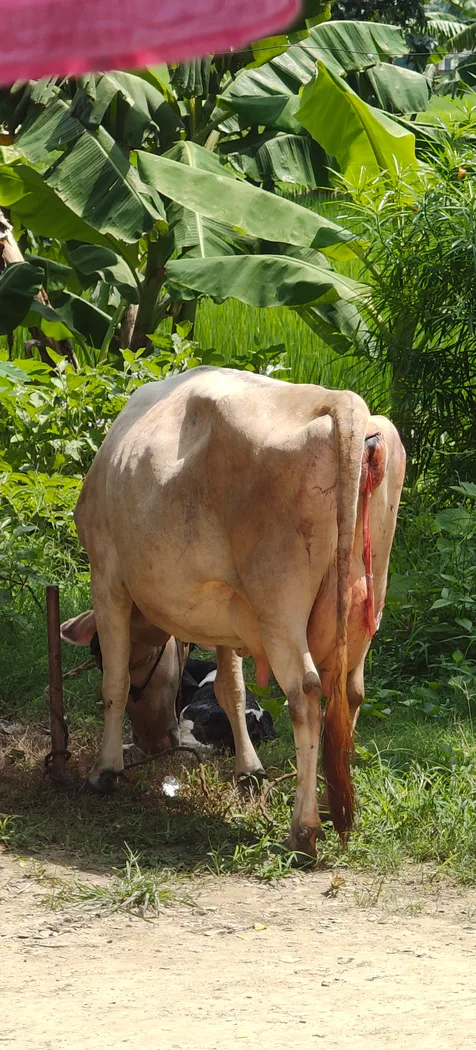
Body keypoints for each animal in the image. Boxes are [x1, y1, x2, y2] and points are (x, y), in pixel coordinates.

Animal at [70, 366, 405, 856]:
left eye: (147, 660)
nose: (156, 742)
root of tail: (341, 401)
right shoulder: (226, 607)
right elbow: (232, 689)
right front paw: (249, 769)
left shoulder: (107, 573)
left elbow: (113, 683)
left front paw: (104, 770)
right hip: (367, 599)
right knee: (350, 691)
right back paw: (330, 803)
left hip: (279, 605)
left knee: (306, 694)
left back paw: (304, 829)